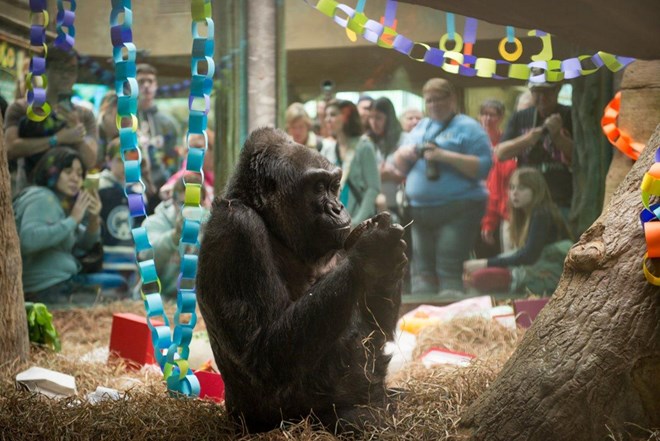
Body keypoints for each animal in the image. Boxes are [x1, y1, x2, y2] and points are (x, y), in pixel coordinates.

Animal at [196, 127, 408, 434]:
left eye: (334, 185)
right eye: (317, 187)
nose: (337, 207)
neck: (271, 222)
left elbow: (377, 326)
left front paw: (386, 264)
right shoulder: (237, 230)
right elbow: (263, 352)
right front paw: (374, 251)